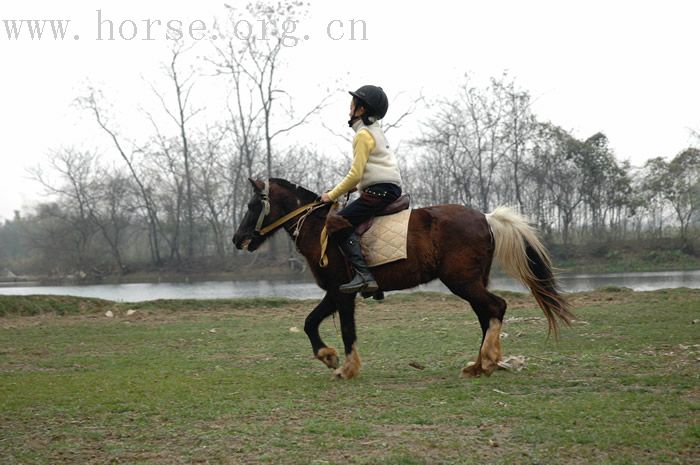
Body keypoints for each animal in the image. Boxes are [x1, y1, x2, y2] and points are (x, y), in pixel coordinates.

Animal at [232, 177, 572, 376]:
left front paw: (341, 365)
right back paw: (479, 364)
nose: (238, 240)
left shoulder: (341, 291)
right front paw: (331, 358)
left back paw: (487, 361)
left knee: (496, 308)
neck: (320, 228)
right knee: (486, 314)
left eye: (252, 204)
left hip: (462, 281)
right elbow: (314, 322)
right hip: (472, 282)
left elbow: (338, 328)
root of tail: (486, 218)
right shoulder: (338, 292)